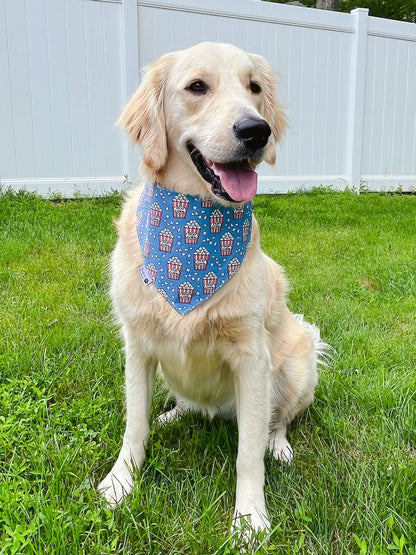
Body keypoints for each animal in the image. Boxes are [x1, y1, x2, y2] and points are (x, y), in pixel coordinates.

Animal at [97, 42, 324, 544]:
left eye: (254, 87)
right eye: (197, 86)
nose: (256, 131)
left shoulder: (252, 358)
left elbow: (248, 454)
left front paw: (250, 518)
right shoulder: (137, 345)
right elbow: (134, 425)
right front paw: (121, 482)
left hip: (299, 363)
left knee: (278, 421)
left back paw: (279, 445)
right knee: (185, 406)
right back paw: (172, 414)